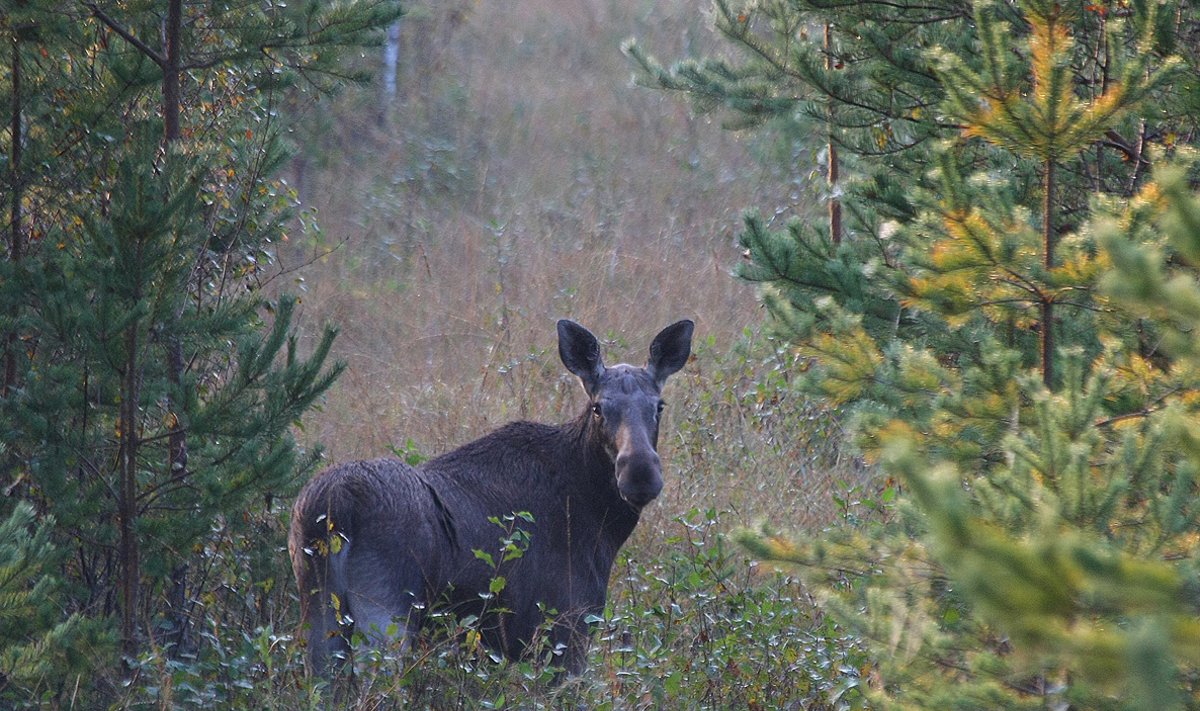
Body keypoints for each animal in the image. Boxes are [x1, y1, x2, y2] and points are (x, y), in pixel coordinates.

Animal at [288, 319, 696, 672]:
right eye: (598, 408)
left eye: (659, 406)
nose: (640, 474)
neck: (602, 523)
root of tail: (336, 504)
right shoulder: (566, 629)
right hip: (386, 614)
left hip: (319, 609)